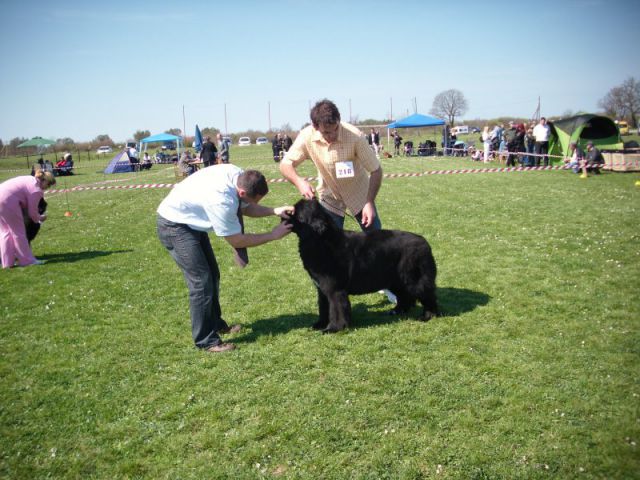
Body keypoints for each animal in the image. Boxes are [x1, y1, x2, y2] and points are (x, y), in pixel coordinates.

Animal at [288, 199, 438, 334]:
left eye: (296, 212)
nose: (286, 214)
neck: (321, 241)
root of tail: (425, 242)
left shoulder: (335, 290)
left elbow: (336, 310)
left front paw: (333, 328)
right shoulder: (322, 289)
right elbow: (324, 308)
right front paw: (319, 324)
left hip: (413, 279)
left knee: (428, 295)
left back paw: (428, 315)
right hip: (396, 279)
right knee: (405, 296)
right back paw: (397, 311)